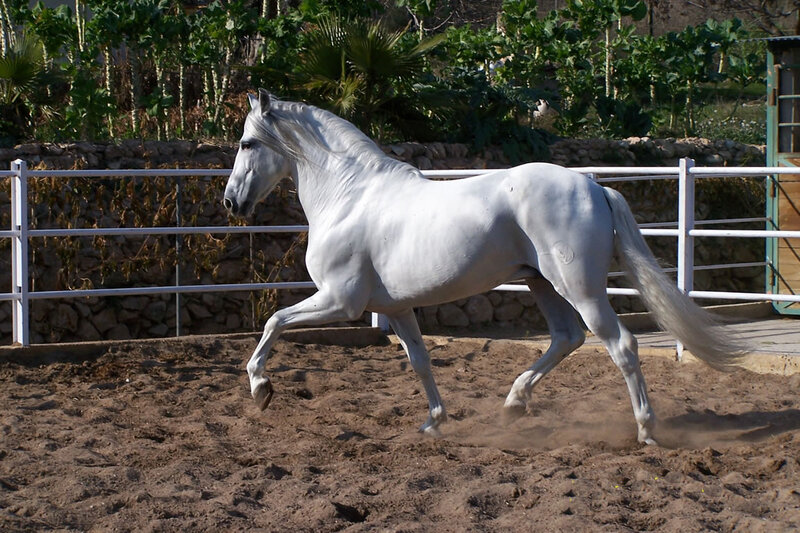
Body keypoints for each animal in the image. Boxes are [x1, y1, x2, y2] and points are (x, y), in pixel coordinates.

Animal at [223, 89, 747, 445]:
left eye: (248, 143)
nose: (231, 202)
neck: (350, 196)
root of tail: (595, 186)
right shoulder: (395, 309)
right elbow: (419, 360)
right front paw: (433, 422)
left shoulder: (340, 301)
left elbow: (274, 322)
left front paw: (261, 388)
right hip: (542, 285)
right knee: (567, 338)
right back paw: (514, 403)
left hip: (580, 289)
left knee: (621, 345)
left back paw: (645, 430)